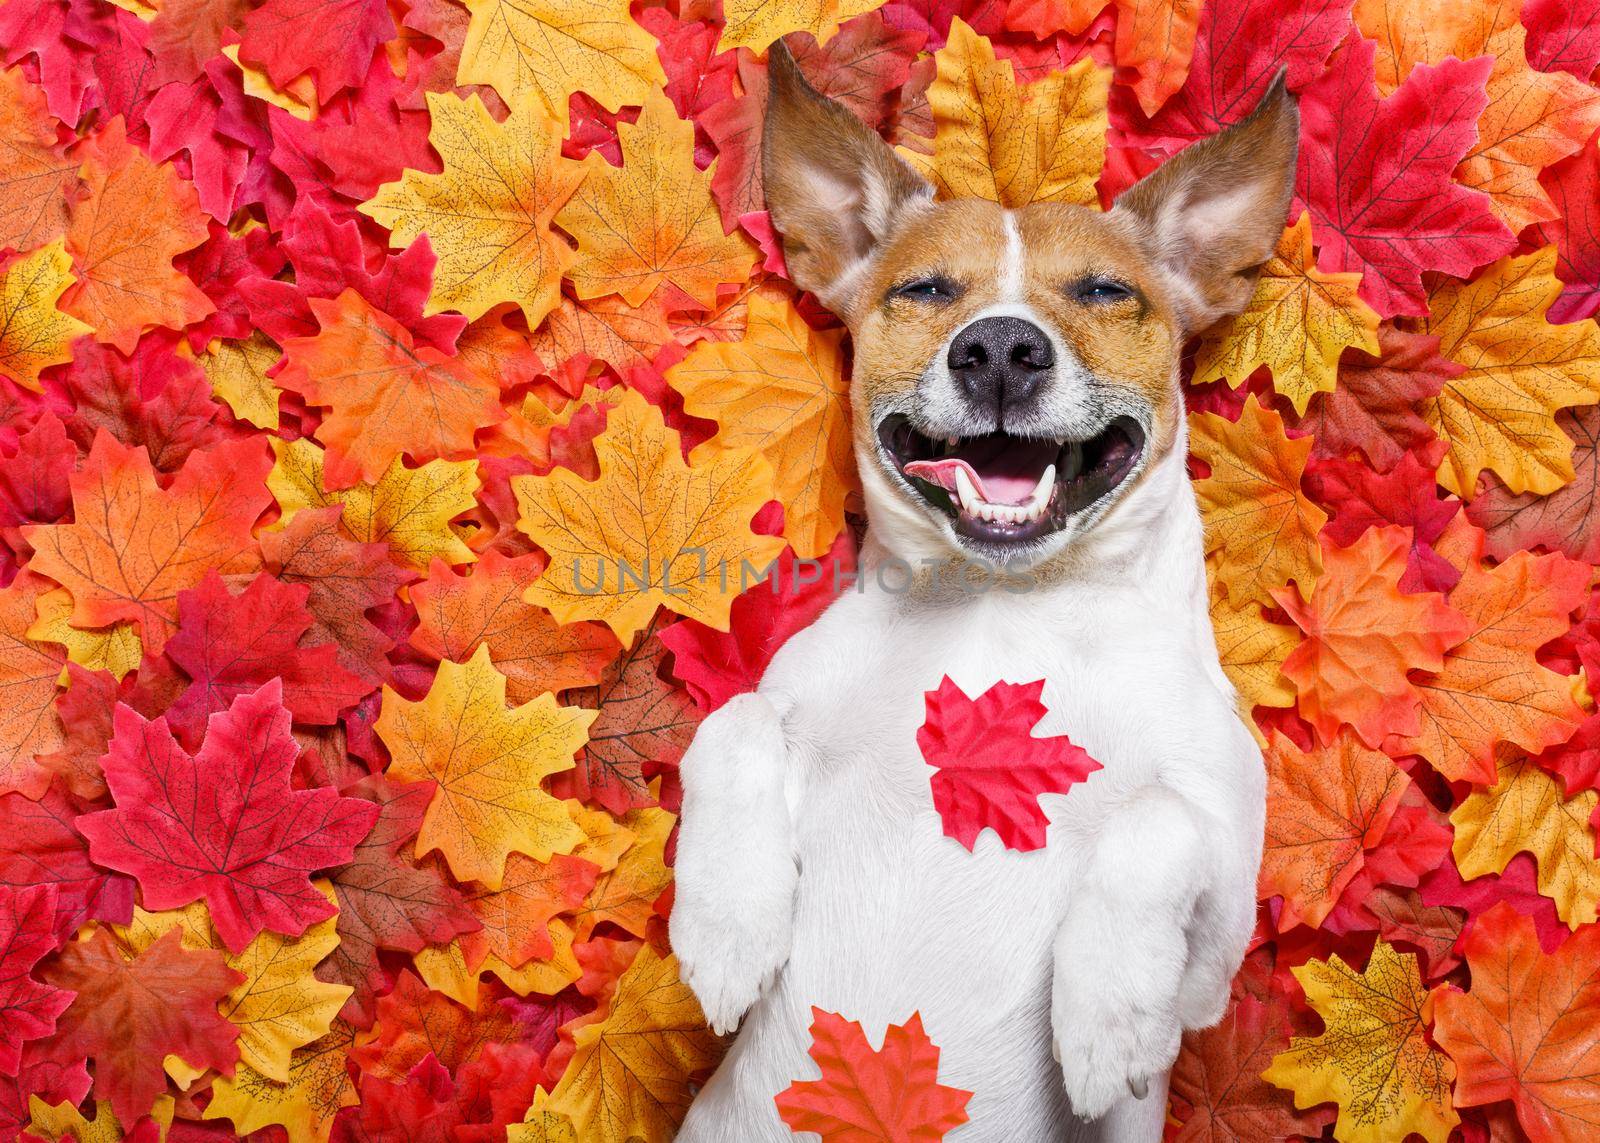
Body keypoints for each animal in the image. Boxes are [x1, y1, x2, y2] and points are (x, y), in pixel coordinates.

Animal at [668, 44, 1292, 1139]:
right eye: (924, 289)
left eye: (1103, 291)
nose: (1001, 346)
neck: (1011, 608)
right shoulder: (776, 701)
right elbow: (732, 717)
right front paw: (726, 923)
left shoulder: (1215, 954)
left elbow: (1158, 821)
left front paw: (1106, 1016)